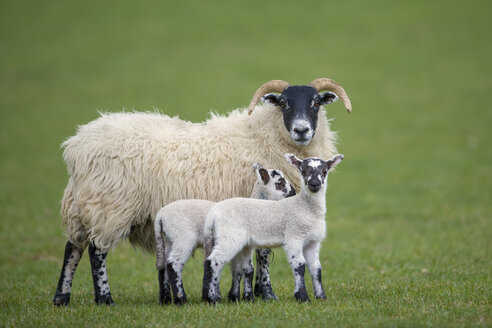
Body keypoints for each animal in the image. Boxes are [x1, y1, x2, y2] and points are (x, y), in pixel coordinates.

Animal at [155, 163, 296, 304]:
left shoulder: (242, 247)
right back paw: (181, 299)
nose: (293, 193)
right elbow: (246, 269)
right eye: (280, 183)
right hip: (184, 238)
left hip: (168, 240)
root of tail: (160, 216)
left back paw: (165, 299)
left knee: (163, 267)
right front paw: (243, 297)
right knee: (174, 264)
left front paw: (234, 297)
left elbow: (238, 270)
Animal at [202, 153, 344, 302]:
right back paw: (212, 298)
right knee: (214, 261)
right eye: (303, 171)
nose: (314, 184)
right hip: (230, 236)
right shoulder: (294, 237)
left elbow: (316, 267)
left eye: (325, 171)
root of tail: (213, 213)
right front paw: (302, 297)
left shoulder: (313, 242)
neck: (304, 207)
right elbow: (299, 265)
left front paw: (321, 297)